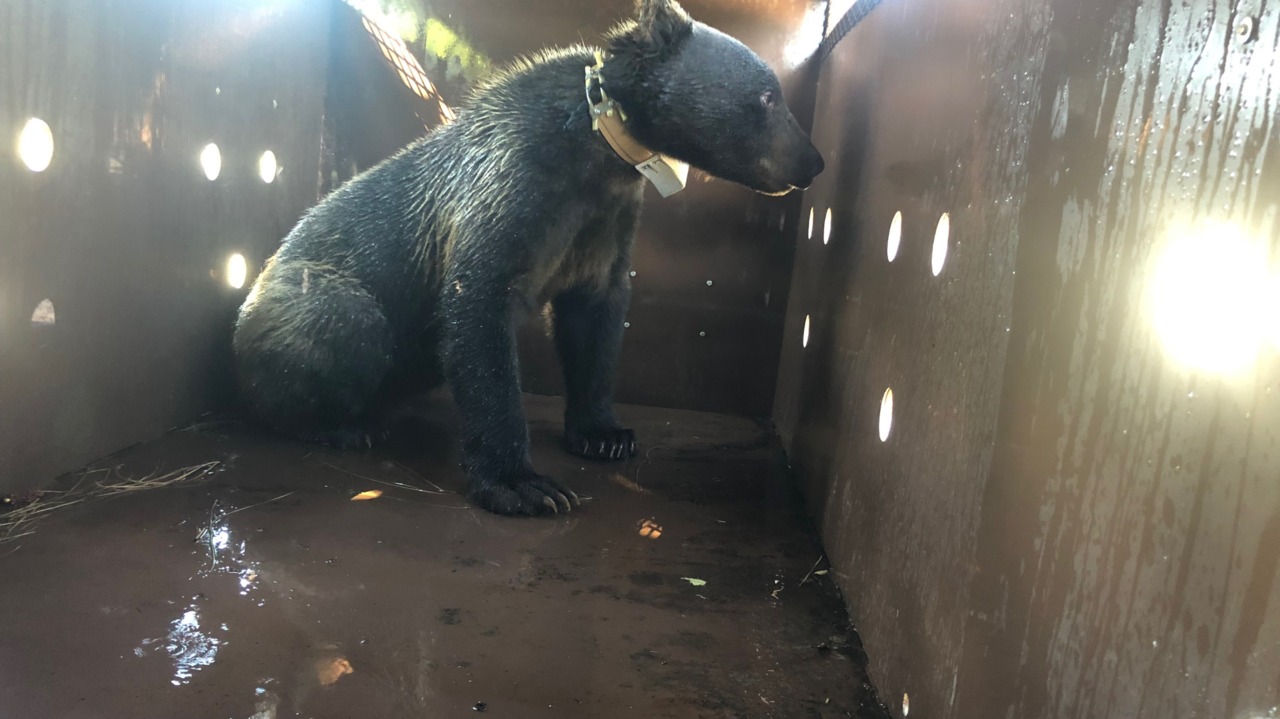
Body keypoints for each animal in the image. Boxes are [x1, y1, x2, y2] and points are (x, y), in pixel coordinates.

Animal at [232, 0, 824, 516]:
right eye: (768, 96)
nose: (813, 161)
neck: (598, 152)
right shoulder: (508, 190)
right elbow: (478, 317)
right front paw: (525, 484)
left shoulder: (602, 227)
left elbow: (595, 323)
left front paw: (605, 433)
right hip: (314, 292)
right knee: (344, 326)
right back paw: (339, 424)